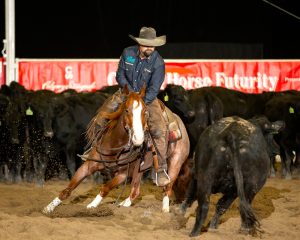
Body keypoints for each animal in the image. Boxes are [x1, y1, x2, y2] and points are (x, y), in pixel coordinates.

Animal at [42, 84, 190, 214]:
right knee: (135, 191)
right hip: (139, 169)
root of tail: (180, 122)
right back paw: (123, 204)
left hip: (176, 162)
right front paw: (49, 208)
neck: (114, 147)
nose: (138, 138)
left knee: (167, 187)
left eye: (145, 112)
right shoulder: (88, 166)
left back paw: (165, 209)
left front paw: (91, 206)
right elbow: (68, 189)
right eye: (126, 110)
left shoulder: (123, 174)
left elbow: (105, 188)